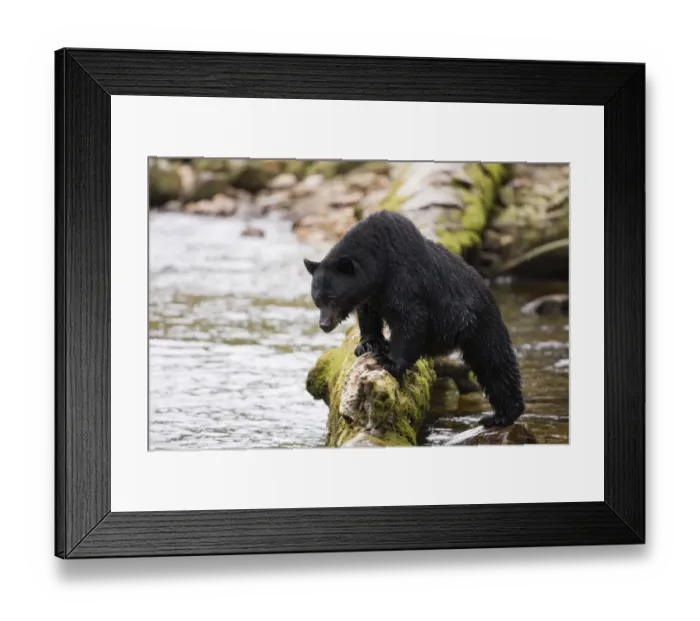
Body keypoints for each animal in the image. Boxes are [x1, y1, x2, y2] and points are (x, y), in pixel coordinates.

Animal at [303, 210, 525, 427]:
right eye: (317, 299)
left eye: (332, 298)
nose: (324, 325)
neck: (379, 266)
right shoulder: (372, 295)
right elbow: (368, 315)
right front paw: (368, 344)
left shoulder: (404, 278)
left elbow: (411, 319)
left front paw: (389, 361)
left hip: (479, 322)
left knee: (494, 362)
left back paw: (503, 415)